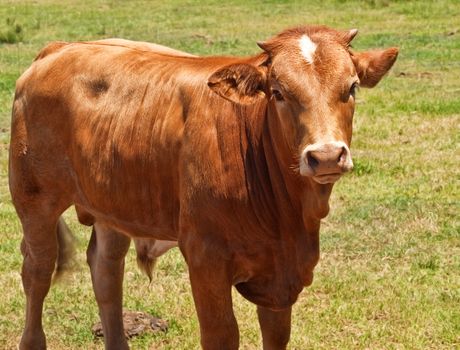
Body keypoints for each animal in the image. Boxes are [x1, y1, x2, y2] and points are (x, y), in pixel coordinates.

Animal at [9, 26, 398, 348]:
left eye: (351, 87)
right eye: (278, 92)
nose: (327, 156)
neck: (288, 219)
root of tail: (60, 48)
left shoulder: (280, 278)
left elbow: (276, 334)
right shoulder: (205, 256)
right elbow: (222, 333)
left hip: (113, 205)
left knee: (106, 272)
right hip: (34, 200)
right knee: (37, 272)